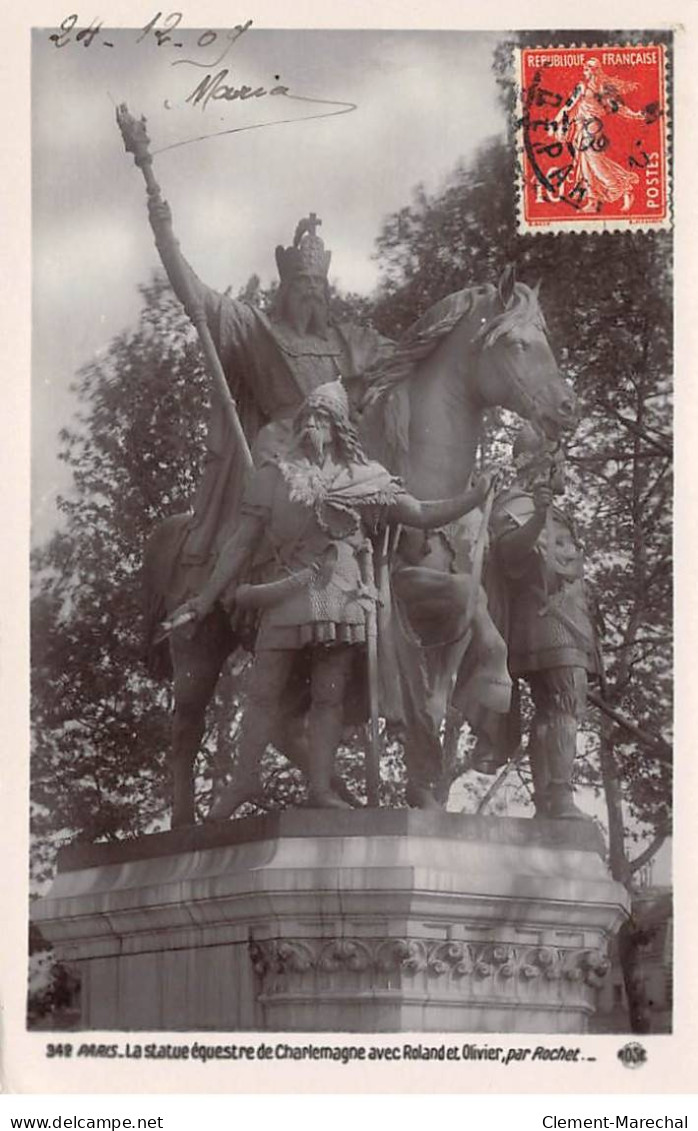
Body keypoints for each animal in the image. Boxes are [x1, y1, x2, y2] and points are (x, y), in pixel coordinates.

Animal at [141, 269, 572, 827]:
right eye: (517, 344)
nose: (568, 408)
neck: (426, 480)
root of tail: (184, 526)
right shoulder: (404, 588)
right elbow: (463, 619)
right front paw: (488, 701)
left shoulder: (447, 595)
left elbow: (458, 654)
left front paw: (434, 776)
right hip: (199, 643)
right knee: (187, 728)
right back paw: (187, 821)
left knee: (285, 723)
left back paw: (335, 793)